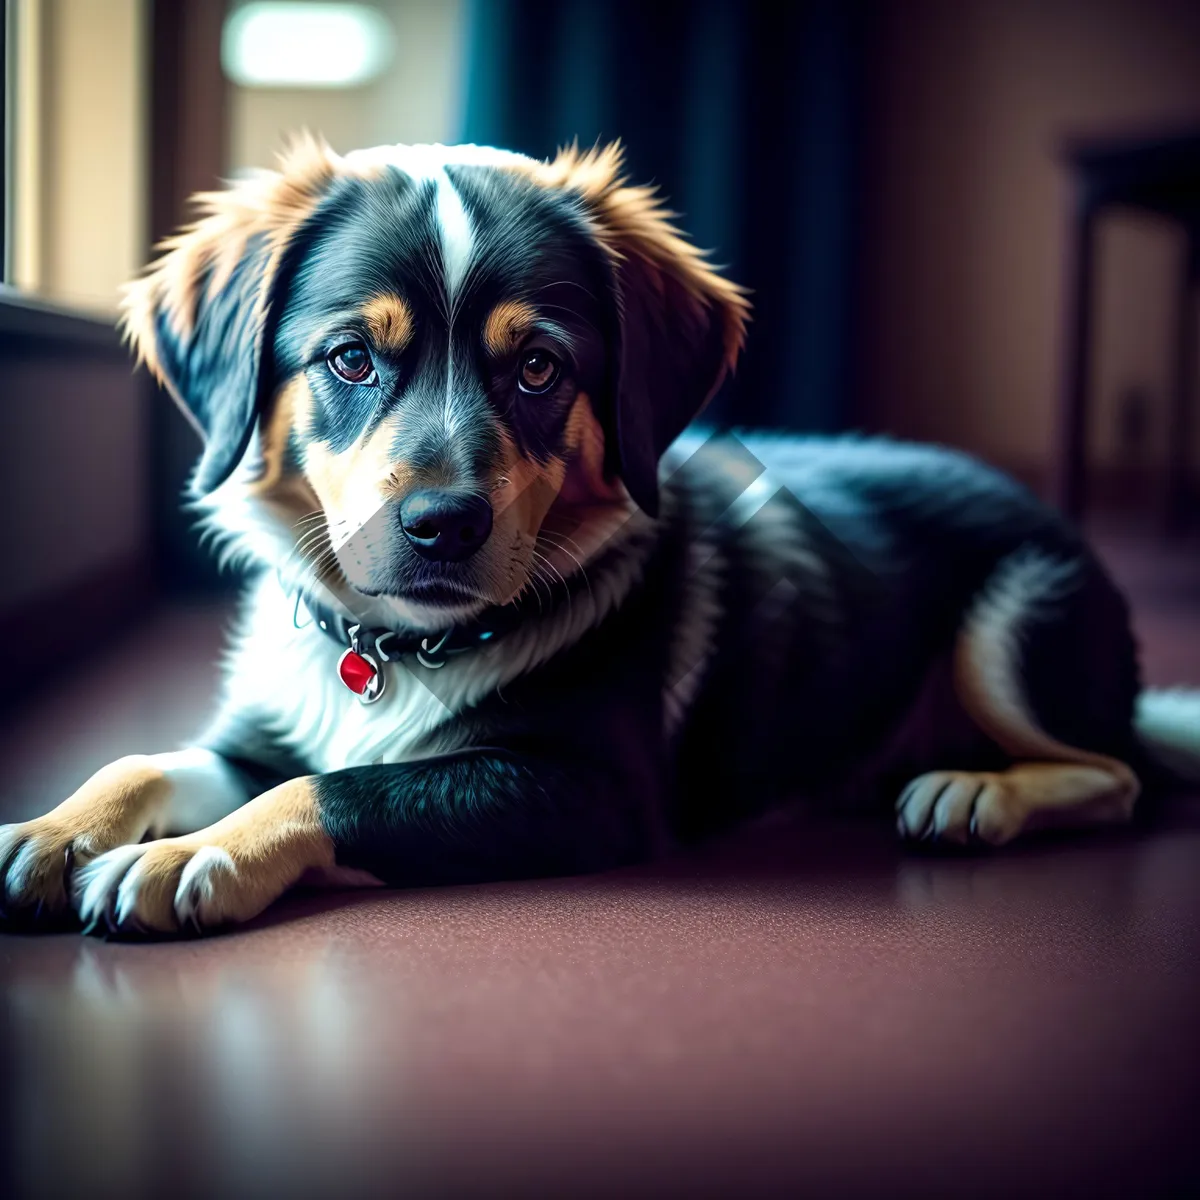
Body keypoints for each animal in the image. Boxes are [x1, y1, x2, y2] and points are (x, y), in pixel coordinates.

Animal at [2, 140, 1200, 936]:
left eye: (538, 367)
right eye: (350, 358)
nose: (443, 525)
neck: (400, 650)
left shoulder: (584, 789)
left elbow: (341, 791)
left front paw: (195, 855)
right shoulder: (266, 728)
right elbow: (149, 759)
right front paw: (55, 830)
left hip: (1018, 622)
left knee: (1120, 774)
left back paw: (980, 792)